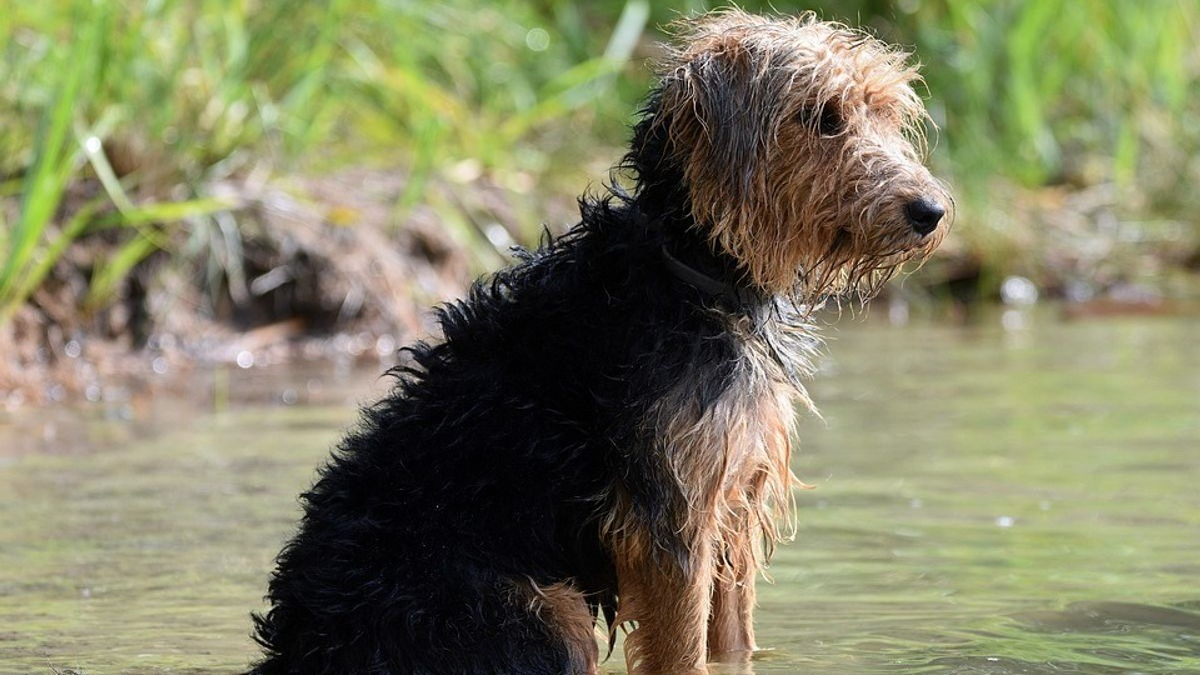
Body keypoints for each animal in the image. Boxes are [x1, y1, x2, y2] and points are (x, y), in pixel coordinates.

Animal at [248, 10, 950, 672]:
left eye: (886, 114)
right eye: (822, 118)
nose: (932, 211)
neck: (687, 271)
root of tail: (297, 649)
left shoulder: (732, 502)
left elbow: (733, 644)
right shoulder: (670, 523)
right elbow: (682, 654)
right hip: (542, 609)